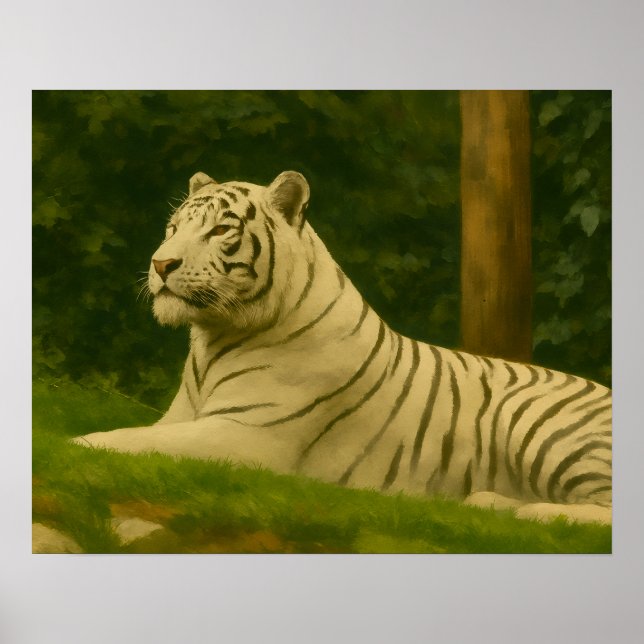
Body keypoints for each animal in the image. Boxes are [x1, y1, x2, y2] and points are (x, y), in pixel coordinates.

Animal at [75, 170, 612, 525]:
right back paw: (486, 502)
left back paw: (522, 511)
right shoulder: (183, 419)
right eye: (173, 228)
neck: (211, 341)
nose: (160, 263)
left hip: (541, 426)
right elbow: (136, 434)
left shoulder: (245, 435)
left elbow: (126, 442)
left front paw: (71, 447)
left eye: (220, 229)